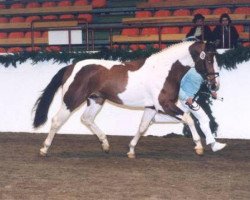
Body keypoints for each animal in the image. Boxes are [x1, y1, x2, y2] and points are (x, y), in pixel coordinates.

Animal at [32, 41, 219, 158]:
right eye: (209, 59)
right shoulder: (164, 105)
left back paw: (105, 144)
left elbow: (143, 126)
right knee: (57, 121)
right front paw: (199, 146)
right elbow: (189, 118)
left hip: (96, 100)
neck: (165, 71)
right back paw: (44, 149)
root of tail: (71, 67)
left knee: (86, 119)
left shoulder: (151, 107)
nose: (214, 85)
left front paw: (131, 150)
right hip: (71, 101)